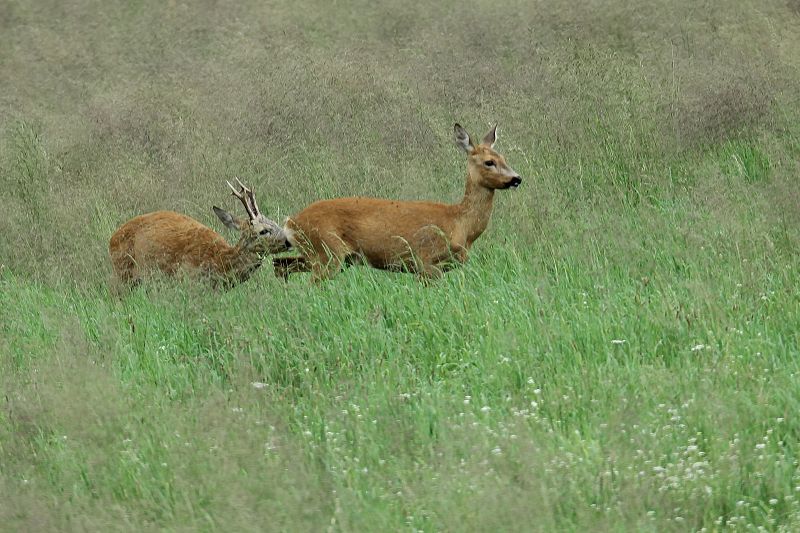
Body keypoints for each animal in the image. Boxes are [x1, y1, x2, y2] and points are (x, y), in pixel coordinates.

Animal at [108, 180, 290, 288]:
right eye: (263, 231)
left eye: (275, 222)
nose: (287, 241)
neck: (219, 259)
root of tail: (112, 238)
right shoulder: (187, 279)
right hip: (122, 273)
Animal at [274, 123, 524, 282]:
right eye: (489, 162)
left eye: (505, 158)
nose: (516, 178)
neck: (460, 224)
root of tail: (291, 222)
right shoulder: (426, 262)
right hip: (327, 252)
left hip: (324, 256)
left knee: (280, 266)